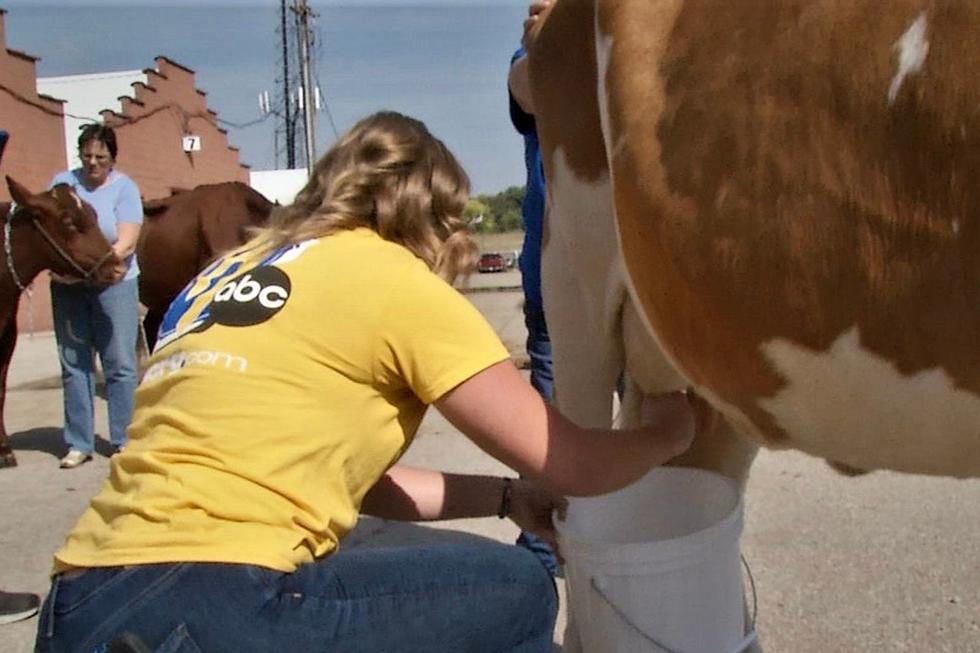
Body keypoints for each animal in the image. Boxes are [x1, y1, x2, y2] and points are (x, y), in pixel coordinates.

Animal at [0, 176, 119, 466]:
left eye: (94, 213)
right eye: (68, 221)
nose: (117, 267)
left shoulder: (7, 334)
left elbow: (0, 388)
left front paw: (5, 450)